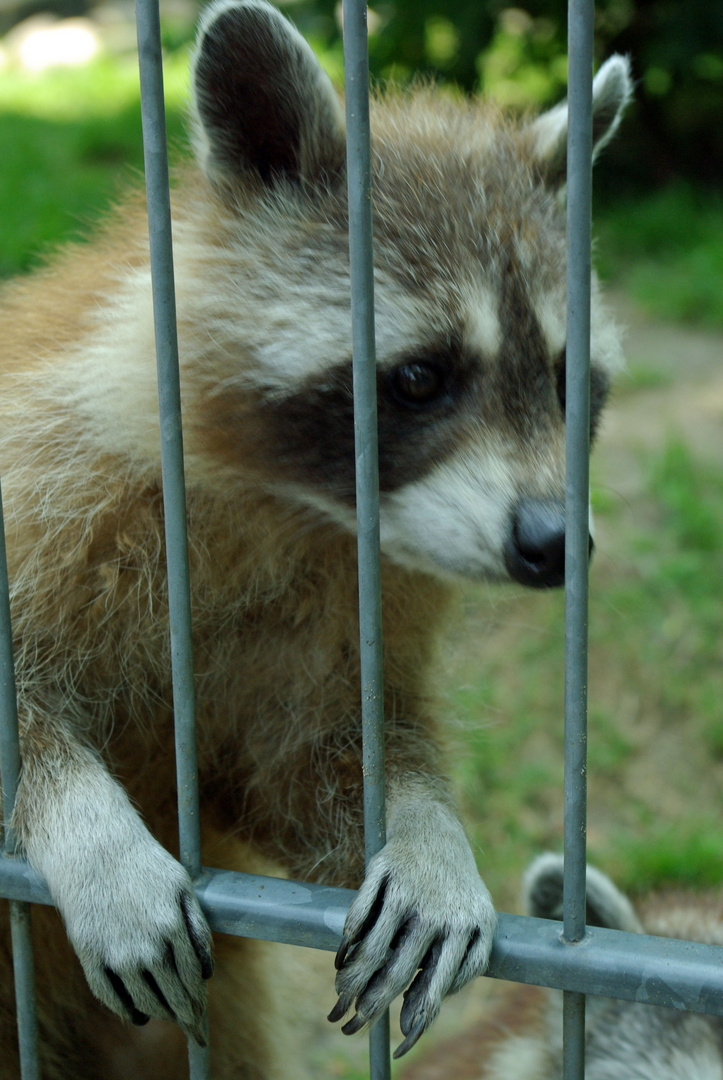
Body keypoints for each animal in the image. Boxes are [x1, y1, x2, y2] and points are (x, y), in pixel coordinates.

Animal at [0, 4, 626, 1075]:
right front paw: (93, 836)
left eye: (562, 379)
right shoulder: (43, 474)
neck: (297, 508)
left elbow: (305, 767)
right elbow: (20, 708)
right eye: (417, 378)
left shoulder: (345, 607)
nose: (553, 545)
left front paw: (424, 832)